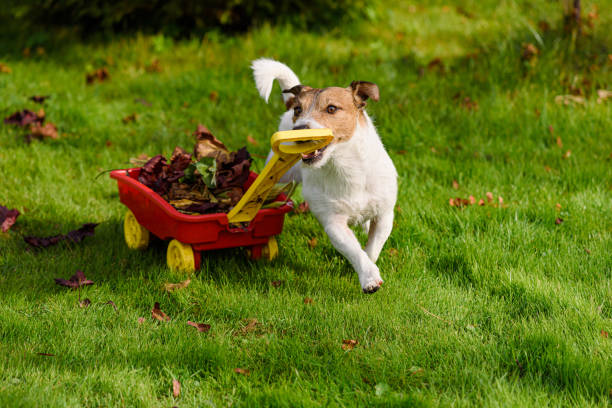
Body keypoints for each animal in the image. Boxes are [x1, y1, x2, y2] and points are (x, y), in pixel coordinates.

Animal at [252, 58, 400, 294]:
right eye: (298, 109)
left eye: (331, 108)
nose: (299, 129)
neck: (345, 166)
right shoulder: (333, 223)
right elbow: (354, 250)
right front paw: (369, 276)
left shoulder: (384, 215)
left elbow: (372, 248)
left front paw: (369, 266)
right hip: (279, 177)